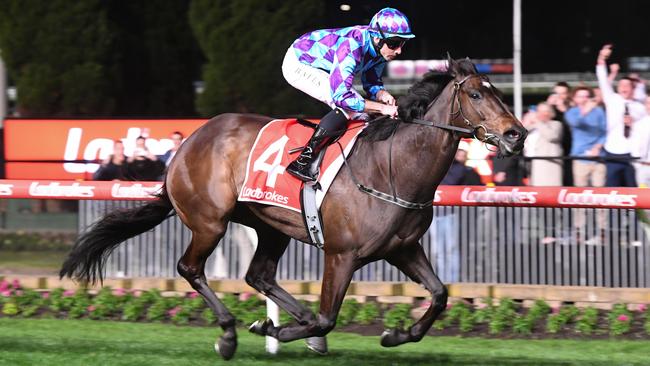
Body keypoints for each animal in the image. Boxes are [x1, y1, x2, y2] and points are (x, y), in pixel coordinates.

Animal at [59, 58, 528, 360]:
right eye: (475, 93)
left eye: (499, 93)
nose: (516, 134)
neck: (392, 167)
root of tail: (187, 143)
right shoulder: (341, 255)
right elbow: (327, 317)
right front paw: (279, 330)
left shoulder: (403, 249)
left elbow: (440, 294)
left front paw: (397, 334)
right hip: (210, 221)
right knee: (190, 268)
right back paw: (230, 333)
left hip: (271, 225)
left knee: (259, 275)